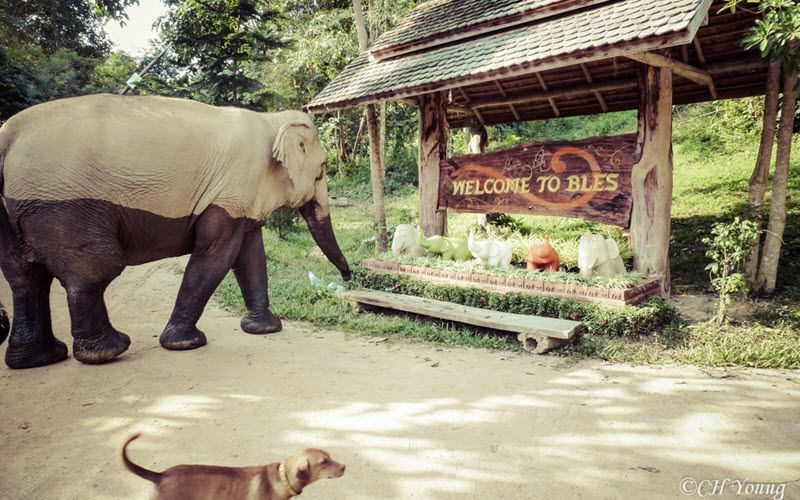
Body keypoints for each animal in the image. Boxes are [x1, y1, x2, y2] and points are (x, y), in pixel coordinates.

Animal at [0, 94, 350, 370]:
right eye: (323, 169)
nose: (348, 278)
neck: (269, 120)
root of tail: (6, 138)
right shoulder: (232, 185)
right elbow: (218, 253)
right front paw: (185, 343)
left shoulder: (241, 195)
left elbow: (250, 253)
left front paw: (265, 329)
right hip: (62, 206)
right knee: (93, 270)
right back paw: (108, 351)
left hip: (12, 209)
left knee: (25, 276)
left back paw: (40, 359)